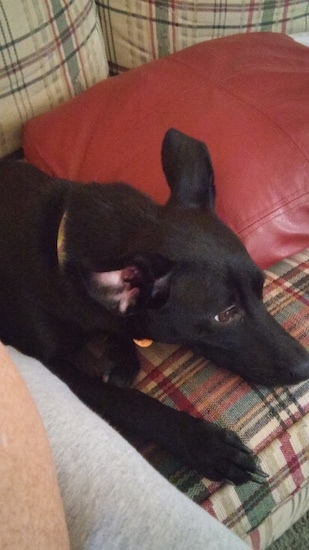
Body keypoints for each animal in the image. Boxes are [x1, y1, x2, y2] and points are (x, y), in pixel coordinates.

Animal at [0, 128, 308, 484]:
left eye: (261, 288)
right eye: (226, 314)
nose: (306, 366)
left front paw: (121, 356)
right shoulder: (50, 365)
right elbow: (123, 399)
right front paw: (204, 444)